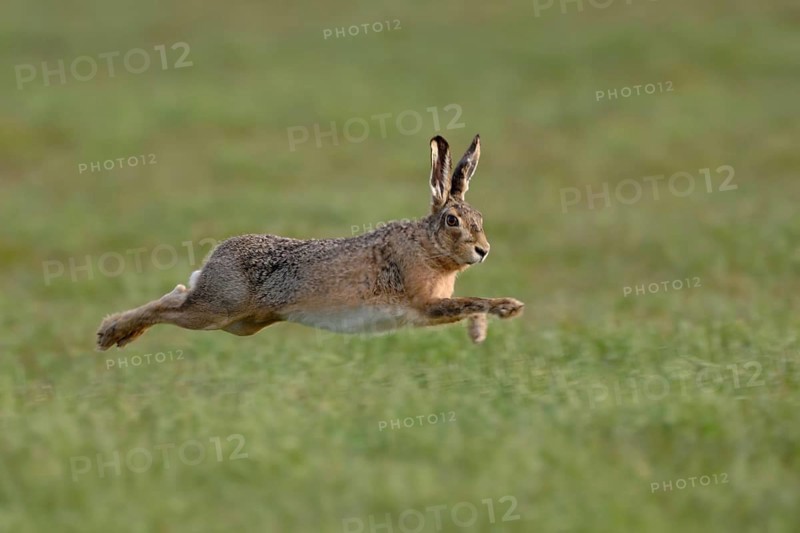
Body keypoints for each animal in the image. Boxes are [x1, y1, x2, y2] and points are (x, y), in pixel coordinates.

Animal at [96, 134, 524, 351]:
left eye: (480, 219)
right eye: (452, 220)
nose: (483, 251)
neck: (426, 245)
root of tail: (216, 256)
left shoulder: (429, 309)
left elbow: (468, 306)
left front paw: (479, 333)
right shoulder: (423, 304)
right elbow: (473, 300)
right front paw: (508, 307)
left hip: (240, 323)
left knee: (179, 295)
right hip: (217, 309)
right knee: (171, 306)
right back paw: (110, 334)